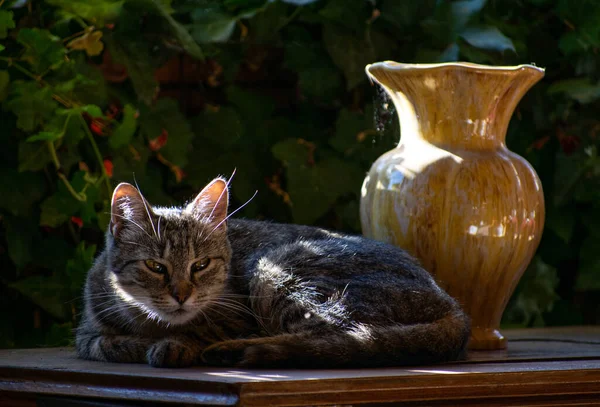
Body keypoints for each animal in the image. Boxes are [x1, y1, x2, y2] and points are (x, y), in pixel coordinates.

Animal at [75, 177, 472, 368]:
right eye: (156, 266)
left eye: (200, 265)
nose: (182, 294)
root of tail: (455, 308)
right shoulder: (87, 332)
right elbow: (107, 343)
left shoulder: (238, 313)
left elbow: (194, 332)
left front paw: (176, 344)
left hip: (278, 269)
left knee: (339, 341)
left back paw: (233, 352)